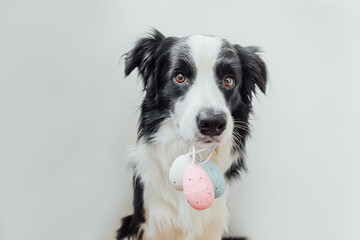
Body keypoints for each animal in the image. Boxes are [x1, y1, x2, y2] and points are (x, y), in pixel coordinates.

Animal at [118, 28, 268, 240]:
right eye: (180, 77)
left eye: (229, 81)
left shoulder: (211, 224)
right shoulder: (151, 222)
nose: (212, 122)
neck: (194, 157)